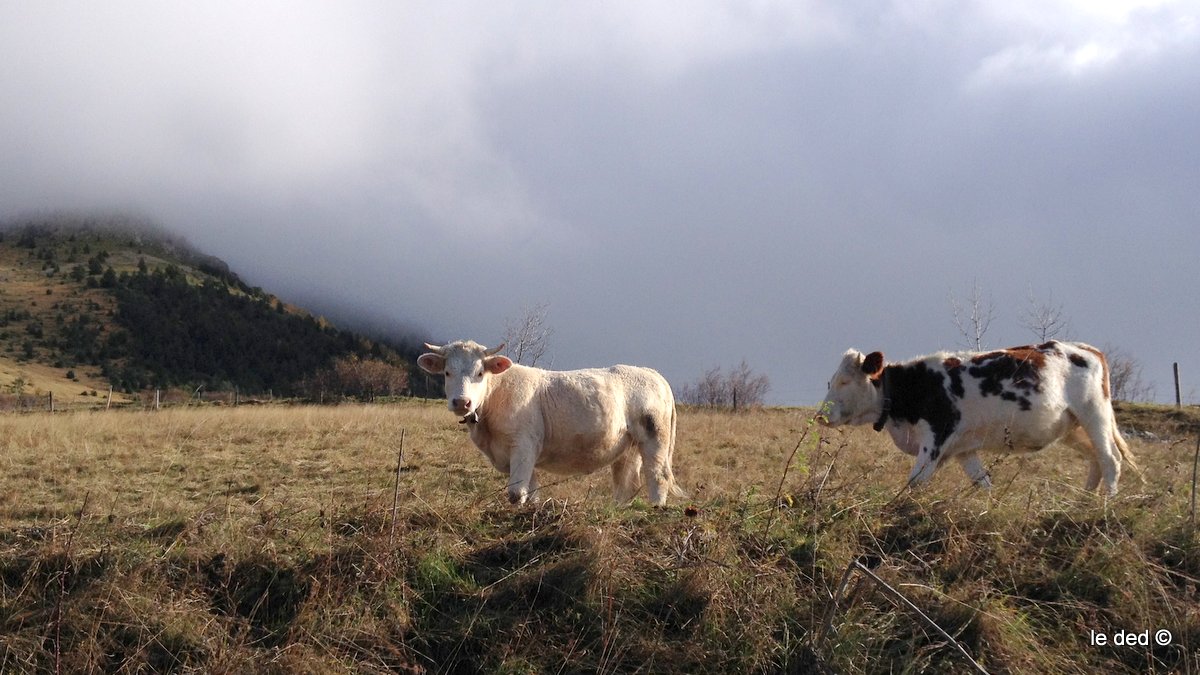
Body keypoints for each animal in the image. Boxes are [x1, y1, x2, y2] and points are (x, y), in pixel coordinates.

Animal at [415, 338, 681, 502]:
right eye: (447, 372)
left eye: (480, 373)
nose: (462, 402)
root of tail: (652, 373)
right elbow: (530, 491)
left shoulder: (523, 445)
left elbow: (516, 493)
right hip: (628, 447)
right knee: (626, 484)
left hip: (655, 438)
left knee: (657, 476)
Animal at [820, 338, 1137, 492]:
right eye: (830, 380)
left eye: (844, 381)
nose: (822, 416)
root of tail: (1088, 349)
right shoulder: (962, 449)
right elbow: (983, 484)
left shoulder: (935, 440)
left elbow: (913, 485)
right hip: (1073, 428)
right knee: (1095, 461)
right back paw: (1084, 504)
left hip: (1093, 414)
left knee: (1110, 460)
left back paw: (1103, 509)